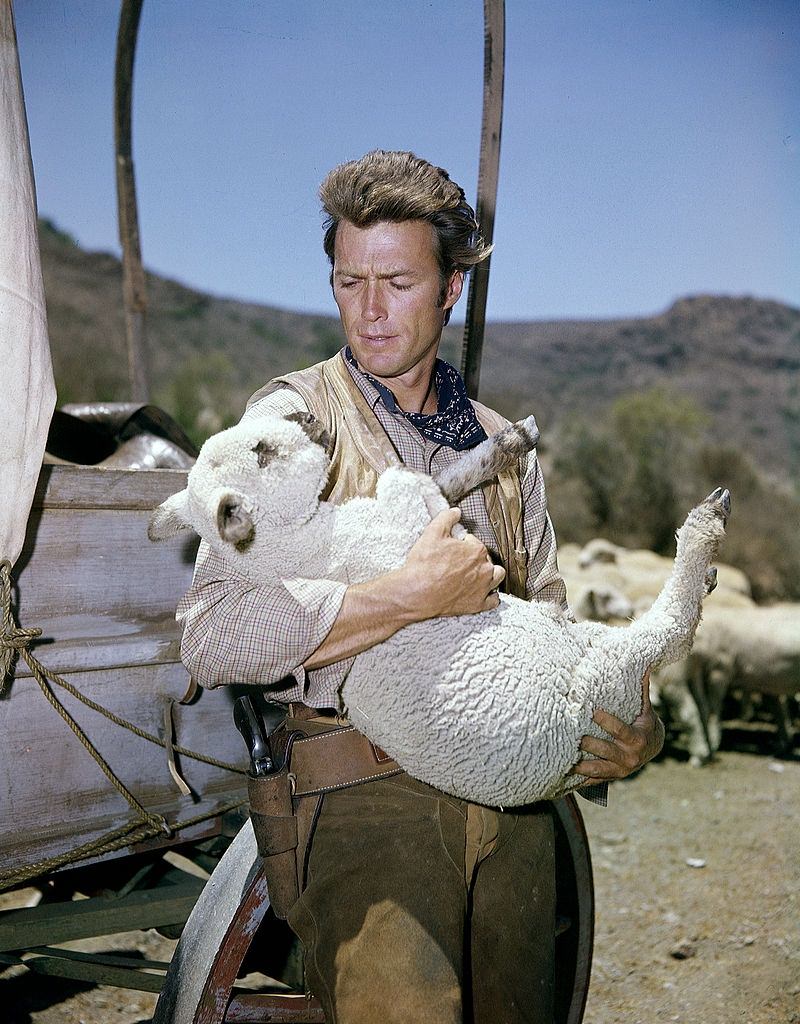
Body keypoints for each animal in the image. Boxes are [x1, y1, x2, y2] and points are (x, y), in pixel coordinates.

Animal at [148, 409, 729, 806]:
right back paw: (705, 528)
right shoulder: (402, 534)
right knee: (673, 630)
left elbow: (439, 481)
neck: (294, 547)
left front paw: (510, 443)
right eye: (264, 450)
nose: (309, 419)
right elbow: (405, 479)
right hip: (608, 679)